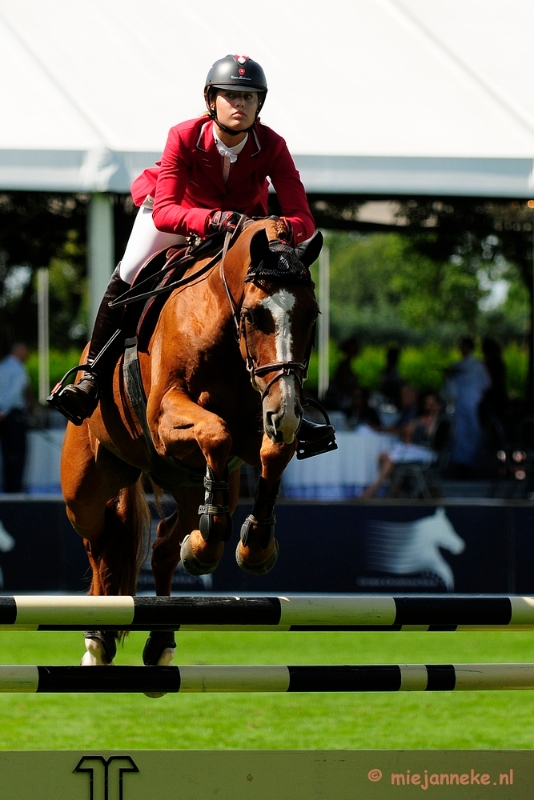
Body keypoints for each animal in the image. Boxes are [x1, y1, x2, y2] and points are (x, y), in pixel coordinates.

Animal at [61, 217, 322, 668]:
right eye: (254, 315)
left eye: (313, 315)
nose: (287, 411)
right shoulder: (164, 418)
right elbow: (216, 430)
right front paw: (211, 546)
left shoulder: (254, 431)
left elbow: (272, 450)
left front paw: (251, 545)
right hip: (84, 492)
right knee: (100, 544)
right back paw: (98, 636)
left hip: (187, 483)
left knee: (166, 545)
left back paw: (164, 632)